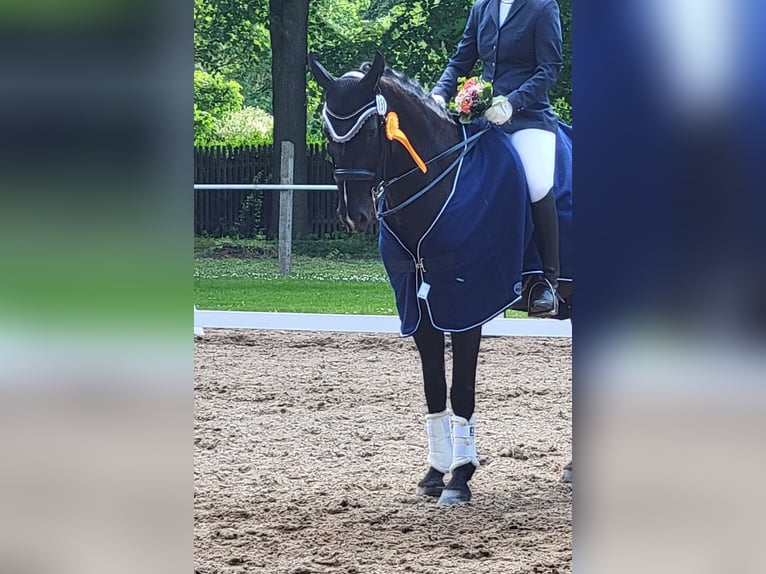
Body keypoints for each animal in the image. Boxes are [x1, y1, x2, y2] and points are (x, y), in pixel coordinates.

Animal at [309, 51, 573, 505]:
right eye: (329, 132)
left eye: (370, 129)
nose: (354, 216)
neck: (441, 179)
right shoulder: (418, 309)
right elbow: (434, 387)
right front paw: (434, 473)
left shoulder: (467, 304)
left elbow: (461, 389)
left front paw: (460, 478)